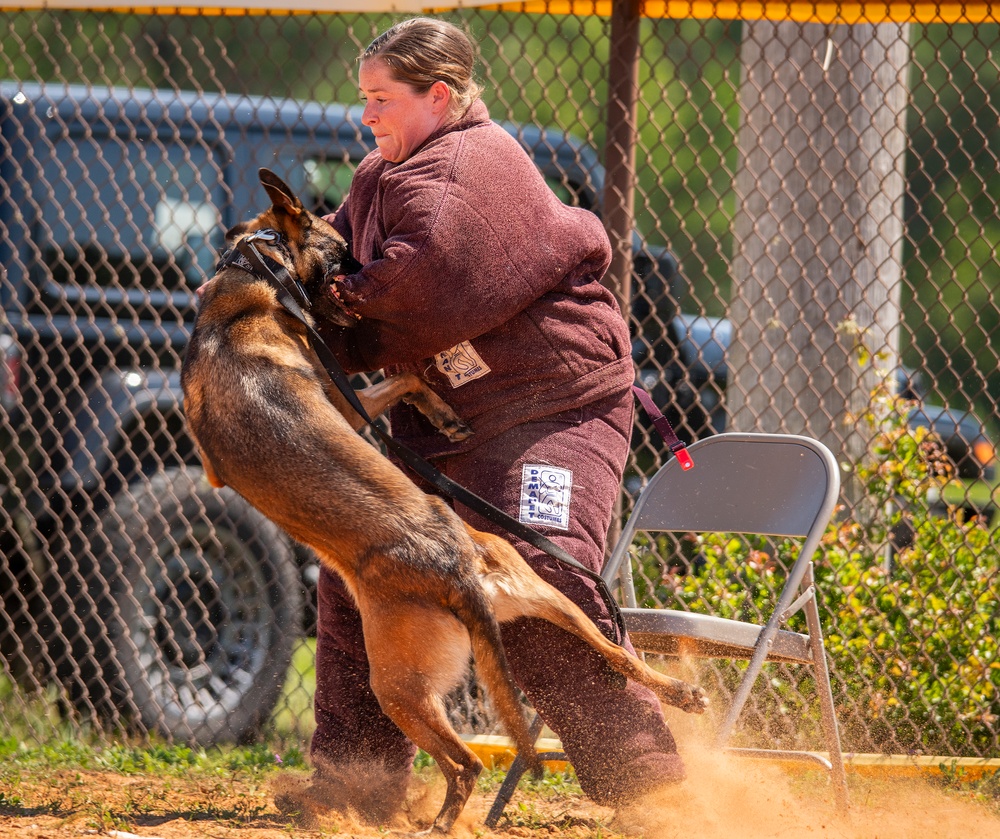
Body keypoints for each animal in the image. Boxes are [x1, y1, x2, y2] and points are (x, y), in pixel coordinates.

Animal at [182, 169, 712, 832]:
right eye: (344, 247)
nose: (366, 273)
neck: (253, 279)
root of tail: (457, 571)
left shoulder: (322, 408)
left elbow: (403, 374)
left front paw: (437, 403)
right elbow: (407, 376)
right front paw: (443, 410)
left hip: (398, 687)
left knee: (467, 762)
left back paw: (439, 822)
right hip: (555, 602)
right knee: (617, 656)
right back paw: (678, 692)